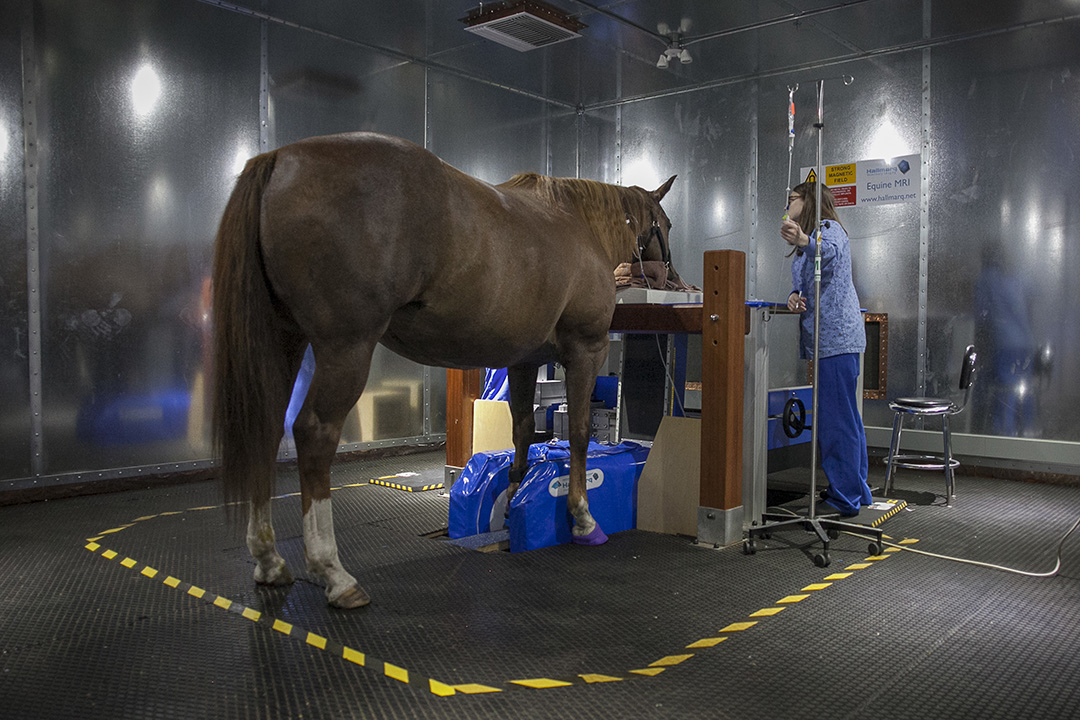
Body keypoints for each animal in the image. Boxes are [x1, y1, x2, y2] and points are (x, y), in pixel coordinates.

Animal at [211, 133, 678, 608]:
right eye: (667, 226)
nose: (673, 277)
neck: (579, 225)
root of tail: (280, 159)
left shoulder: (524, 360)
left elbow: (523, 429)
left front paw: (513, 499)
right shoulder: (585, 350)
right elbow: (580, 432)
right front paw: (582, 519)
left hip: (284, 342)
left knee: (266, 428)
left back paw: (269, 560)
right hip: (345, 348)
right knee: (313, 434)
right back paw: (333, 573)